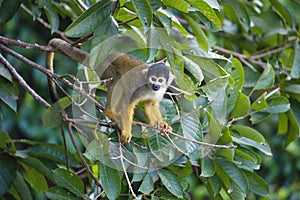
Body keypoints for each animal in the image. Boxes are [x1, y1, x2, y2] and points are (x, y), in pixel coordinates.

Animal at [45, 38, 175, 143]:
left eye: (160, 80)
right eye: (153, 79)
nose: (156, 85)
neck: (150, 89)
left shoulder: (160, 92)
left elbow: (150, 105)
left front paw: (161, 125)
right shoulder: (140, 88)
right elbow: (127, 103)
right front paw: (126, 132)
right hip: (105, 68)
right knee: (118, 82)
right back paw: (109, 112)